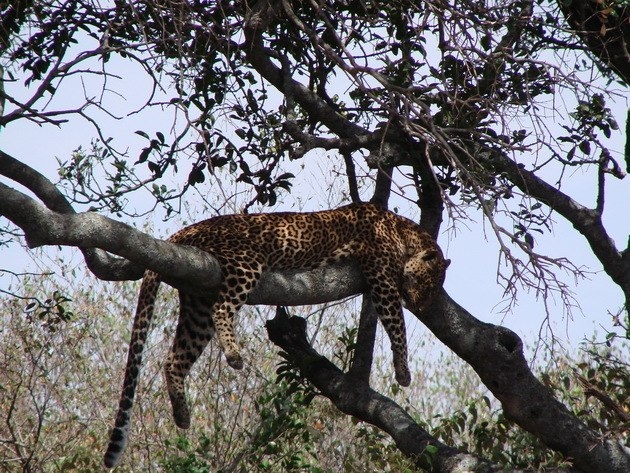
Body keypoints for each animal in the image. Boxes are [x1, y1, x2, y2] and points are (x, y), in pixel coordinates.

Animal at [103, 201, 450, 466]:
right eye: (426, 285)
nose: (420, 303)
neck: (404, 233)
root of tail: (187, 230)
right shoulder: (381, 277)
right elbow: (396, 324)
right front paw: (403, 371)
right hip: (245, 264)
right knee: (222, 309)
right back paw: (233, 355)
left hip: (196, 302)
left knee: (175, 358)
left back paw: (182, 414)